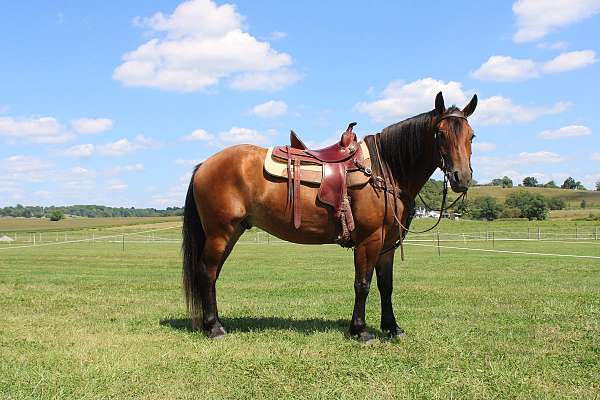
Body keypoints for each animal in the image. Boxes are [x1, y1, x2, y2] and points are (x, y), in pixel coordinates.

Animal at [183, 92, 478, 342]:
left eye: (472, 136)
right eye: (439, 134)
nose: (461, 178)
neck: (384, 169)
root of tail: (204, 165)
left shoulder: (387, 245)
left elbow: (386, 285)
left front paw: (392, 328)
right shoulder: (369, 241)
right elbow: (363, 284)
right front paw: (360, 331)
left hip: (231, 233)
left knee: (213, 274)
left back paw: (215, 323)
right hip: (220, 233)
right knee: (207, 272)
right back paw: (214, 328)